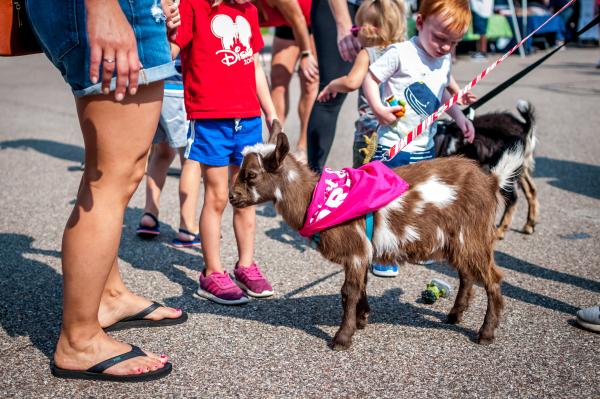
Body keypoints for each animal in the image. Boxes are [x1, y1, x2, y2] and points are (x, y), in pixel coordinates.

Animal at [230, 131, 524, 350]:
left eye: (252, 174)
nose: (233, 197)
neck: (315, 199)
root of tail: (491, 181)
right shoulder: (363, 252)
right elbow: (360, 287)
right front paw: (362, 319)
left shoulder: (355, 251)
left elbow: (348, 292)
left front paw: (342, 338)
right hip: (460, 241)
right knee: (467, 275)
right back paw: (454, 315)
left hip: (472, 235)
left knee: (492, 279)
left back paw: (485, 333)